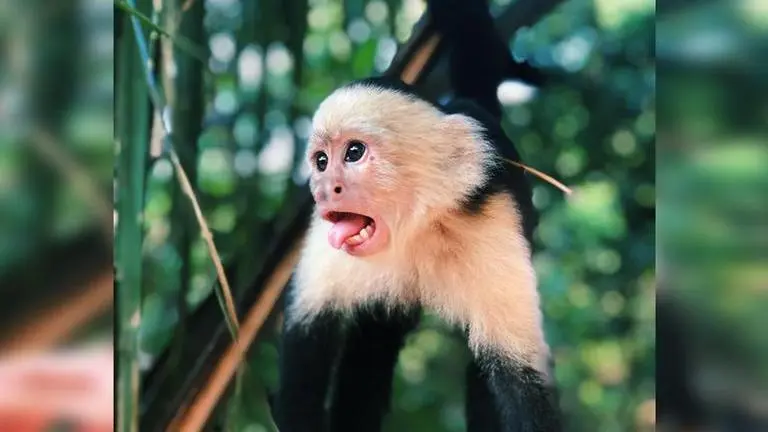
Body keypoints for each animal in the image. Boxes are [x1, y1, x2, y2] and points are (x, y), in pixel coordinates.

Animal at [272, 0, 560, 431]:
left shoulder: (490, 220)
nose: (322, 189)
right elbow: (306, 337)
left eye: (354, 153)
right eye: (321, 161)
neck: (413, 227)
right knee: (374, 341)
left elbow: (518, 374)